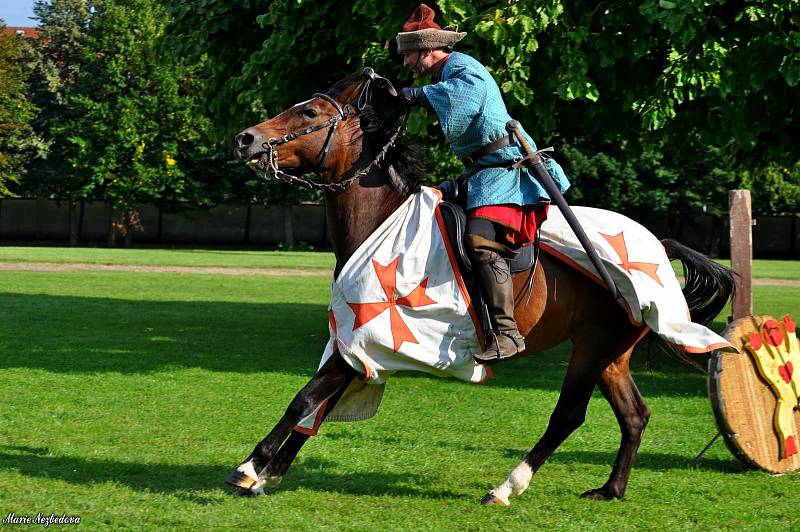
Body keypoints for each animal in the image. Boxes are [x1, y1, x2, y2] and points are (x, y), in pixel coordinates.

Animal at [228, 68, 736, 504]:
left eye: (310, 113)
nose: (245, 138)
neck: (383, 220)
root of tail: (657, 248)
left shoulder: (367, 339)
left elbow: (305, 398)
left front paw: (251, 467)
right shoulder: (352, 343)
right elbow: (319, 402)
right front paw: (271, 472)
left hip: (593, 348)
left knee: (568, 415)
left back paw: (507, 487)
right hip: (612, 354)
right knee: (634, 415)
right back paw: (610, 489)